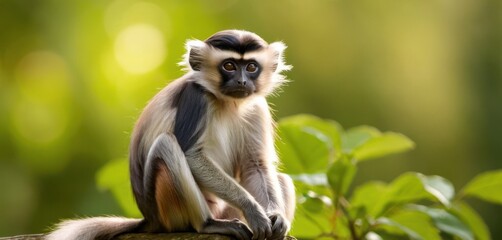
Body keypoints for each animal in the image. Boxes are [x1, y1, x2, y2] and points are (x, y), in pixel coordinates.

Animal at [45, 30, 296, 240]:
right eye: (229, 66)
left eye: (251, 67)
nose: (242, 81)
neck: (228, 103)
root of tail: (151, 220)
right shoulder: (196, 96)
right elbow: (191, 155)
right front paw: (253, 210)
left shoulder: (257, 107)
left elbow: (256, 164)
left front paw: (275, 217)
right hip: (170, 211)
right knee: (166, 145)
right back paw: (208, 224)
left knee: (282, 178)